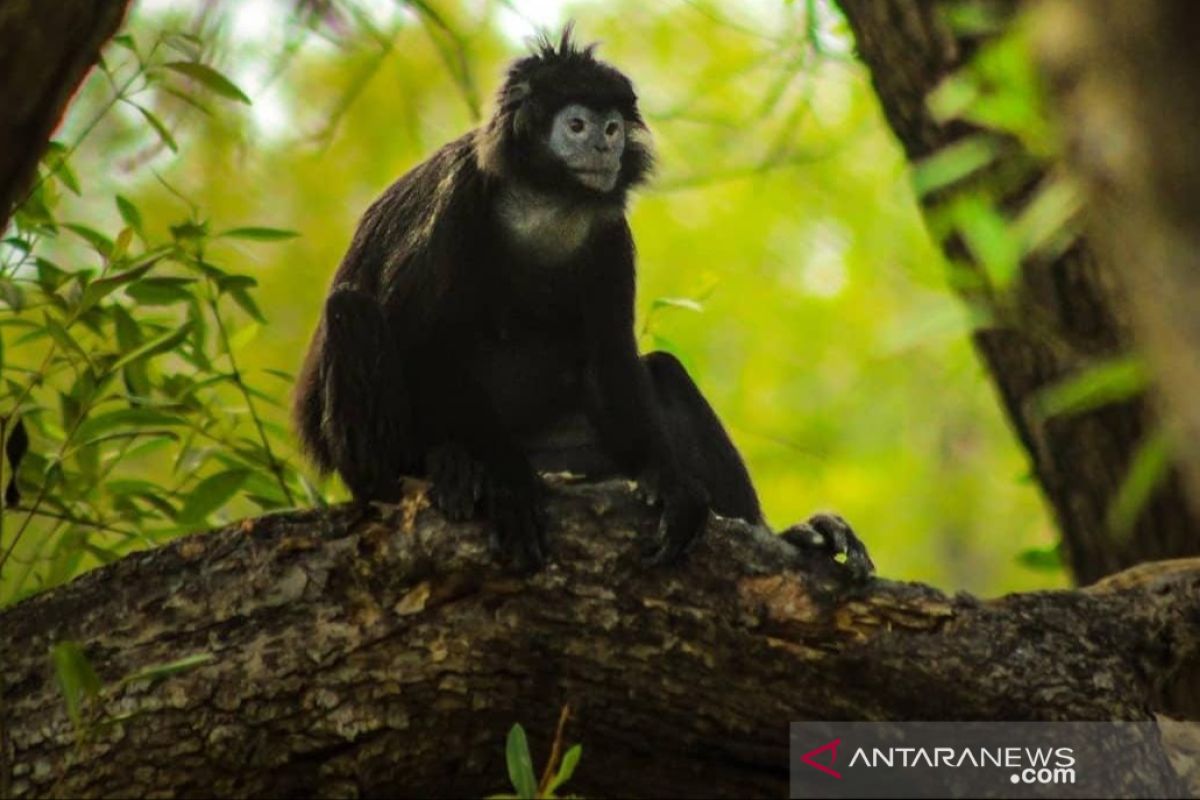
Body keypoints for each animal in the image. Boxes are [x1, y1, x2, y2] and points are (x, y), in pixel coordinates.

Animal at [291, 26, 873, 575]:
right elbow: (422, 340)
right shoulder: (454, 200)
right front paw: (503, 480)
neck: (544, 200)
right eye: (576, 126)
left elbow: (610, 357)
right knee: (352, 310)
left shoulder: (609, 231)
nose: (604, 148)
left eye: (611, 128)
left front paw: (672, 484)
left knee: (663, 372)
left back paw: (799, 535)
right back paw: (435, 467)